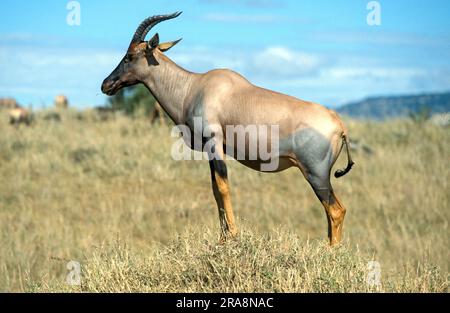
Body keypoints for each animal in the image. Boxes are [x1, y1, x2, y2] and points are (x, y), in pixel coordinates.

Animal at [102, 12, 356, 245]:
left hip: (316, 174)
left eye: (130, 55)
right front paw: (223, 238)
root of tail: (339, 125)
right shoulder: (209, 150)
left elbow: (223, 187)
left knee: (336, 210)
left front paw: (232, 236)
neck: (194, 87)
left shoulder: (215, 142)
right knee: (332, 212)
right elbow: (215, 190)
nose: (106, 85)